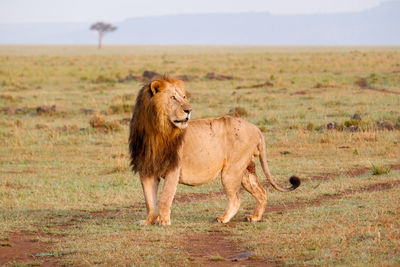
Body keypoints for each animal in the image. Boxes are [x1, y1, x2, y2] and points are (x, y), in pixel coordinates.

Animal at [128, 76, 300, 226]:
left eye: (184, 97)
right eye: (173, 98)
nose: (189, 110)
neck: (156, 131)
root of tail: (255, 128)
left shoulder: (173, 168)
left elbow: (165, 198)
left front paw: (163, 221)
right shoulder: (146, 170)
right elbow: (149, 201)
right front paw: (148, 221)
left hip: (231, 171)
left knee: (236, 200)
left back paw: (222, 218)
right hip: (246, 171)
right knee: (262, 192)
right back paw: (255, 217)